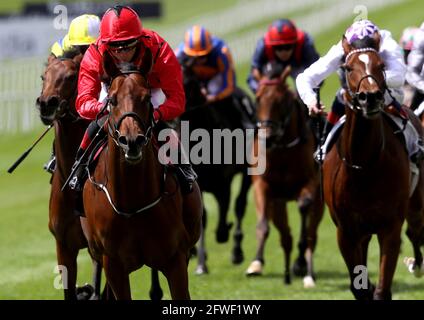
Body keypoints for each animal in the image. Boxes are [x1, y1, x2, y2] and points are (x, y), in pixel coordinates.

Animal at [81, 50, 204, 300]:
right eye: (112, 100)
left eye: (147, 99)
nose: (132, 141)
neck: (132, 201)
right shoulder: (113, 264)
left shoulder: (176, 259)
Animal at [245, 65, 324, 288]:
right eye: (258, 98)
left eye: (281, 101)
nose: (268, 138)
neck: (282, 150)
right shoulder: (263, 186)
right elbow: (263, 225)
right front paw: (256, 264)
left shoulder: (310, 183)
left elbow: (304, 208)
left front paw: (303, 265)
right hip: (278, 203)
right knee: (285, 233)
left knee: (312, 233)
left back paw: (306, 269)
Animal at [322, 40, 424, 300]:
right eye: (348, 68)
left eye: (381, 65)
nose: (370, 97)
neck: (364, 166)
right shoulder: (346, 231)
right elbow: (360, 287)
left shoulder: (390, 227)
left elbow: (381, 289)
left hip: (415, 204)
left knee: (416, 231)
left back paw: (416, 264)